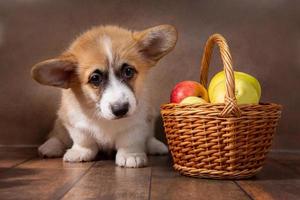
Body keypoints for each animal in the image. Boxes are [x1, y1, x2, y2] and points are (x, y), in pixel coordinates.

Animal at [31, 24, 177, 167]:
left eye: (128, 71)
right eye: (95, 78)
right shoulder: (74, 121)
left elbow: (130, 140)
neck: (104, 118)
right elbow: (83, 139)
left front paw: (130, 155)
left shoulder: (139, 121)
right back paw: (50, 147)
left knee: (149, 137)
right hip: (60, 121)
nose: (120, 110)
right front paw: (80, 151)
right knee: (58, 135)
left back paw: (155, 146)